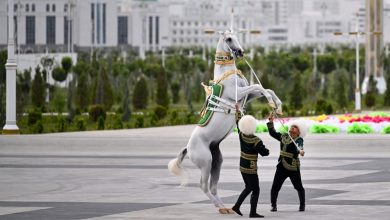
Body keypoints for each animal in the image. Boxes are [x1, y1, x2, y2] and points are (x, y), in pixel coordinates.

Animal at [168, 29, 284, 213]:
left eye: (237, 37)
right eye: (229, 39)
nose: (241, 52)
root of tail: (188, 148)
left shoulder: (247, 95)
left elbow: (266, 89)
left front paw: (277, 106)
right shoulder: (240, 92)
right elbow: (259, 87)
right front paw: (273, 103)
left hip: (217, 161)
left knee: (213, 186)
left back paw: (225, 207)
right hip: (206, 163)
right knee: (204, 186)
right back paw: (219, 207)